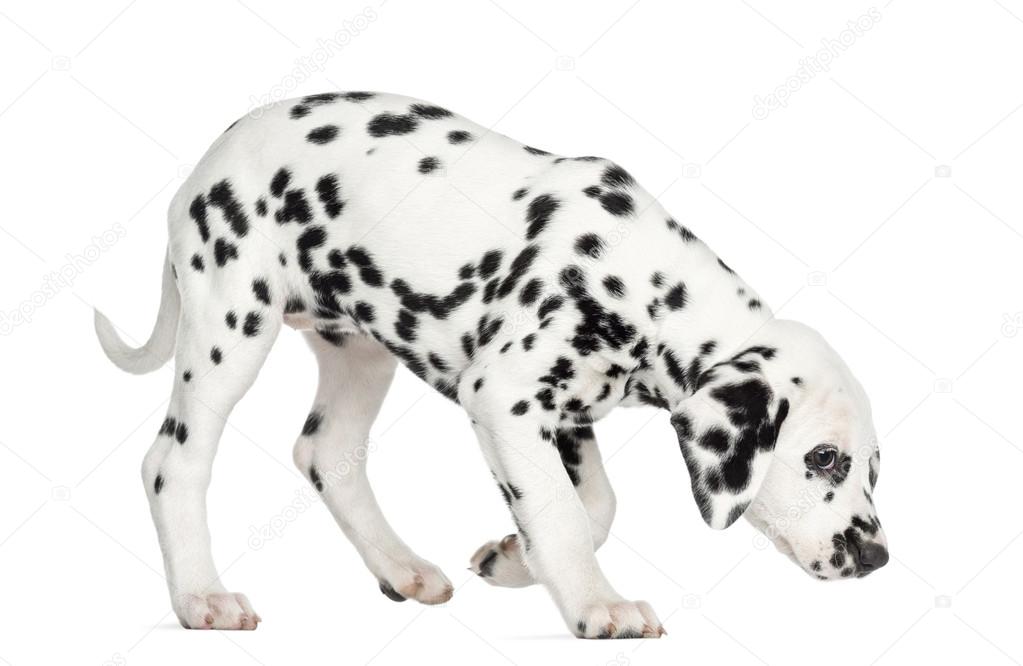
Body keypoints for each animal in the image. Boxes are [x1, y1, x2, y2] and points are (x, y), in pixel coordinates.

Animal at [92, 92, 883, 642]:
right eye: (823, 459)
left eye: (873, 468)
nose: (875, 558)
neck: (643, 280)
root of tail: (209, 159)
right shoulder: (505, 398)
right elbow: (563, 514)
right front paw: (598, 605)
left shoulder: (565, 415)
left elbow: (591, 507)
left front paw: (514, 560)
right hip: (230, 331)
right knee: (172, 463)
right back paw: (201, 597)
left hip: (359, 354)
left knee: (325, 452)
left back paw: (401, 568)